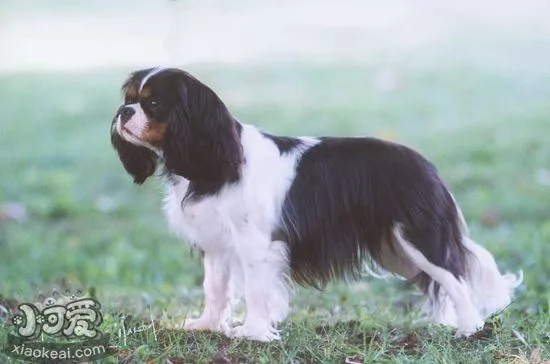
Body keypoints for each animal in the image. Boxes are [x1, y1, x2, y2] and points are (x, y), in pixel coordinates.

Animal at [110, 66, 524, 342]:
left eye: (153, 103)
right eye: (128, 100)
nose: (123, 113)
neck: (213, 159)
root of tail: (428, 167)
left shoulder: (256, 246)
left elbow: (257, 291)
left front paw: (253, 332)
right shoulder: (216, 244)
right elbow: (215, 288)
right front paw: (208, 325)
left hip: (417, 239)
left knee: (455, 278)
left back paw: (469, 328)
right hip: (396, 250)